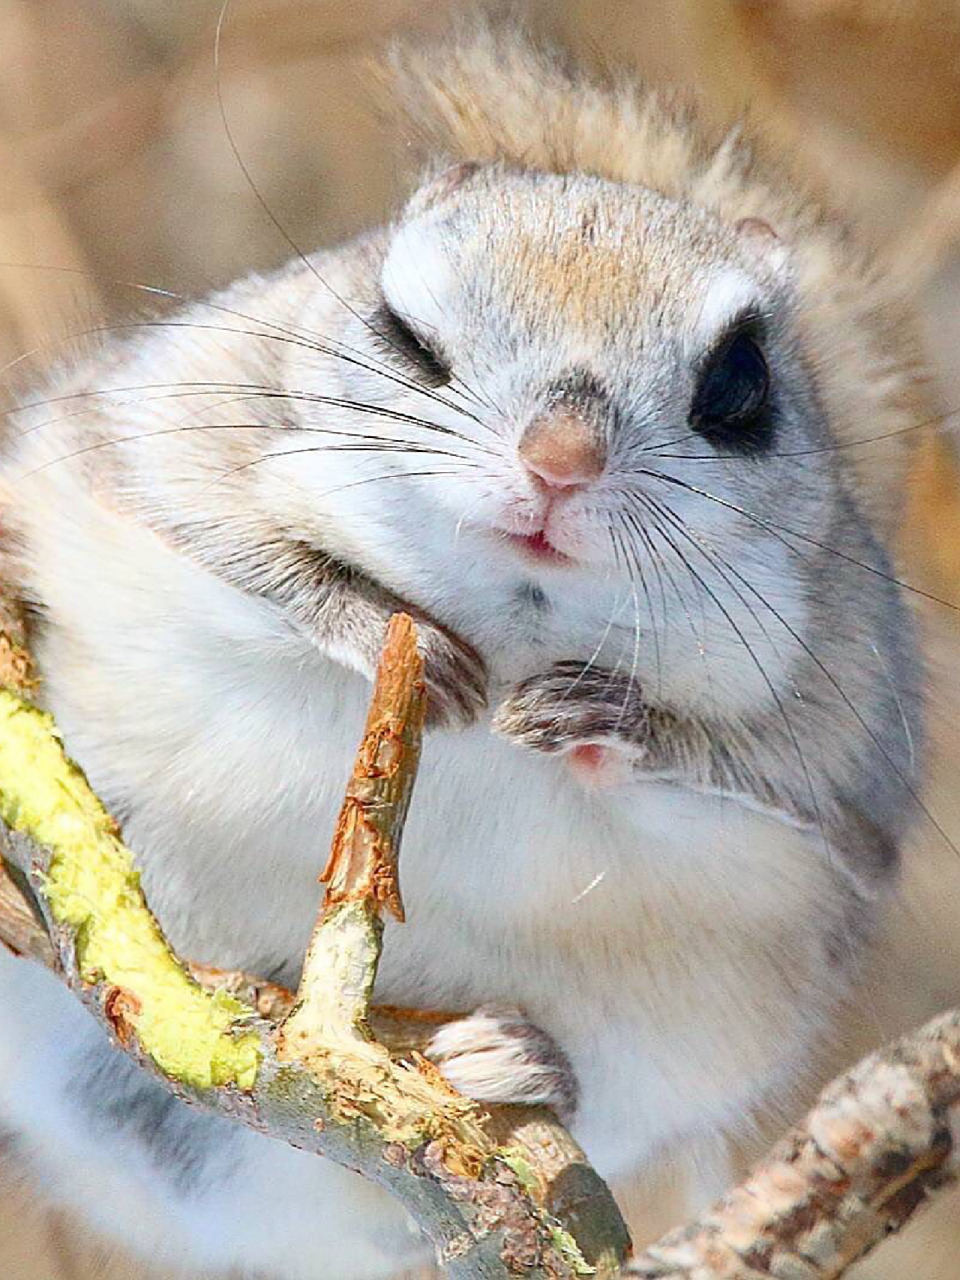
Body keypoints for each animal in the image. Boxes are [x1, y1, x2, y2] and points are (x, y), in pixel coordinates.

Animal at [0, 20, 925, 1280]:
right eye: (399, 332)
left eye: (743, 384)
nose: (560, 459)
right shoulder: (149, 437)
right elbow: (241, 545)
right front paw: (391, 635)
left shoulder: (847, 731)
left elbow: (757, 766)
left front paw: (602, 716)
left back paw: (513, 1056)